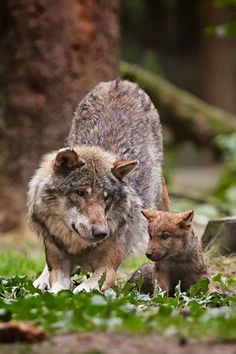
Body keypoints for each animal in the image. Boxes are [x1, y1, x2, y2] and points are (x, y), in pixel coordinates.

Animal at [28, 79, 166, 294]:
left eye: (106, 197)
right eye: (80, 193)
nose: (102, 233)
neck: (79, 247)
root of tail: (119, 82)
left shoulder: (108, 268)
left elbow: (88, 286)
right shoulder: (58, 264)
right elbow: (57, 287)